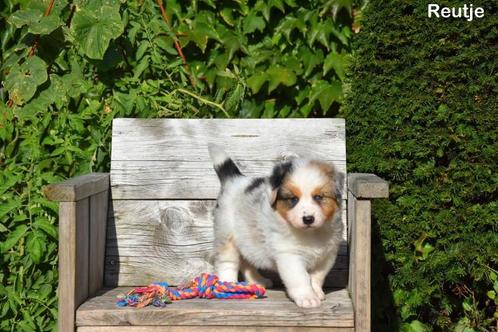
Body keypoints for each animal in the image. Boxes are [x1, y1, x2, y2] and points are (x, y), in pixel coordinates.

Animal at [206, 145, 342, 308]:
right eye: (293, 199)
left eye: (319, 197)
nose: (308, 219)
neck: (311, 234)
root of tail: (234, 180)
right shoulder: (289, 255)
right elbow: (300, 278)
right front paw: (307, 297)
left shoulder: (327, 255)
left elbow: (316, 277)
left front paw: (316, 292)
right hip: (226, 236)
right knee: (227, 262)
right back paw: (229, 285)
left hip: (248, 239)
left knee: (247, 262)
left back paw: (258, 280)